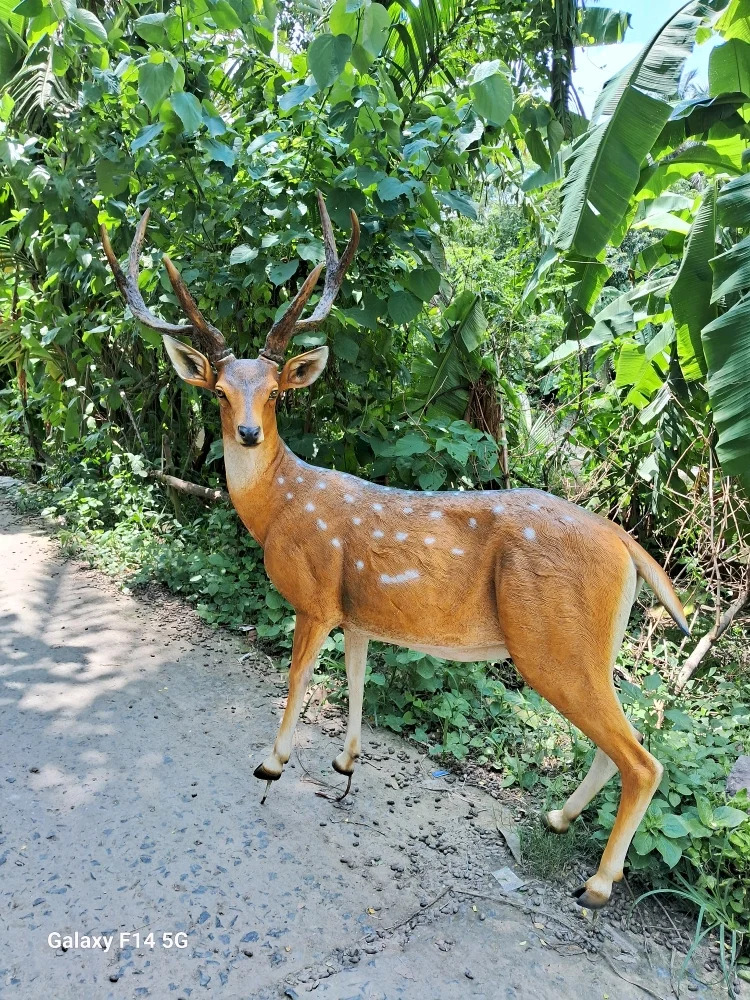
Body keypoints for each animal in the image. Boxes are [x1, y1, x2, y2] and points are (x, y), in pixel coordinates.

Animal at [100, 193, 690, 910]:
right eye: (219, 390)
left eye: (275, 392)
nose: (245, 432)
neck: (280, 508)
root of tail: (625, 542)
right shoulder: (357, 611)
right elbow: (356, 678)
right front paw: (344, 761)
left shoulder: (315, 595)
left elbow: (298, 678)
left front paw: (272, 763)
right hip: (591, 644)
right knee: (622, 741)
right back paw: (558, 818)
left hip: (551, 640)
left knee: (643, 758)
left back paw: (599, 883)